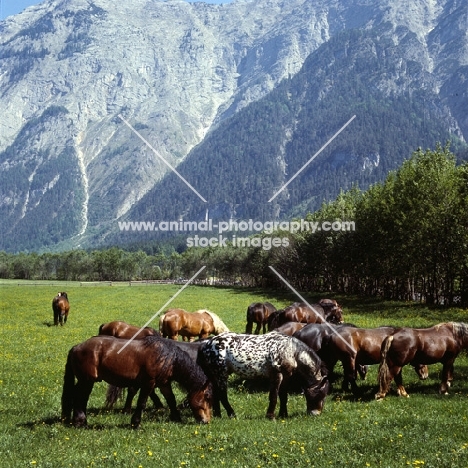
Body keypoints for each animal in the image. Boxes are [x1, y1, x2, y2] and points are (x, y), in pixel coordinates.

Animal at [60, 336, 212, 428]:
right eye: (207, 397)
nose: (207, 421)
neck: (166, 357)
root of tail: (76, 347)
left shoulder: (164, 384)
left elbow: (171, 400)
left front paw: (176, 418)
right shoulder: (149, 383)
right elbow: (141, 402)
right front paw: (135, 423)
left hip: (86, 381)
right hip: (86, 381)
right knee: (79, 398)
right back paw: (79, 422)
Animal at [197, 330, 330, 418]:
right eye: (321, 395)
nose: (316, 414)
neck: (291, 350)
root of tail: (206, 344)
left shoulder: (286, 376)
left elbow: (283, 396)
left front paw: (283, 415)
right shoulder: (277, 375)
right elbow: (274, 396)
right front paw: (270, 416)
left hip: (215, 376)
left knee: (216, 394)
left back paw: (218, 415)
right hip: (221, 375)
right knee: (222, 395)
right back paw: (232, 414)